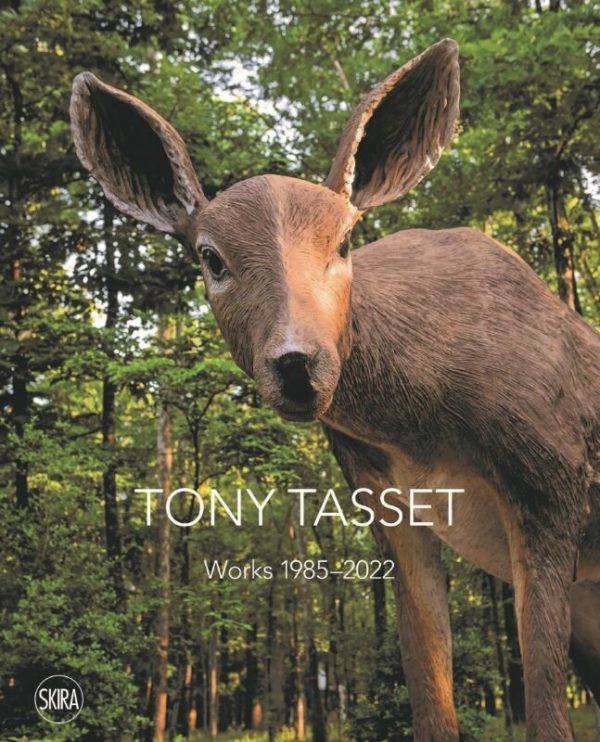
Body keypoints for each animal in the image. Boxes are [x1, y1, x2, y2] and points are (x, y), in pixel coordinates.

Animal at [70, 39, 600, 741]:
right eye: (210, 257)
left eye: (345, 240)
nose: (298, 363)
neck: (423, 421)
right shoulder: (388, 503)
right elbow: (429, 688)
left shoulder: (552, 478)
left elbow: (544, 705)